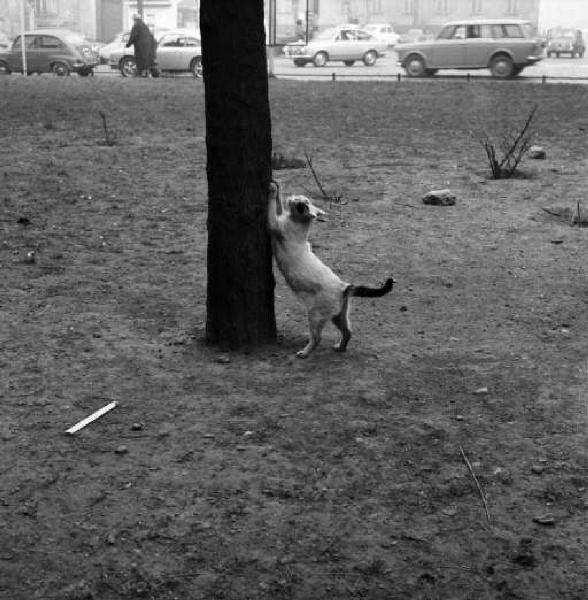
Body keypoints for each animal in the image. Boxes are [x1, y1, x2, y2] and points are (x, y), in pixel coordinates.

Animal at [268, 178, 396, 356]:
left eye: (299, 202)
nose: (292, 198)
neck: (299, 224)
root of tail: (344, 287)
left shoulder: (274, 224)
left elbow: (272, 205)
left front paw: (272, 188)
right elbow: (278, 204)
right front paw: (278, 186)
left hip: (314, 315)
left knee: (317, 338)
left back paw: (305, 353)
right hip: (338, 316)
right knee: (348, 332)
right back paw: (340, 348)